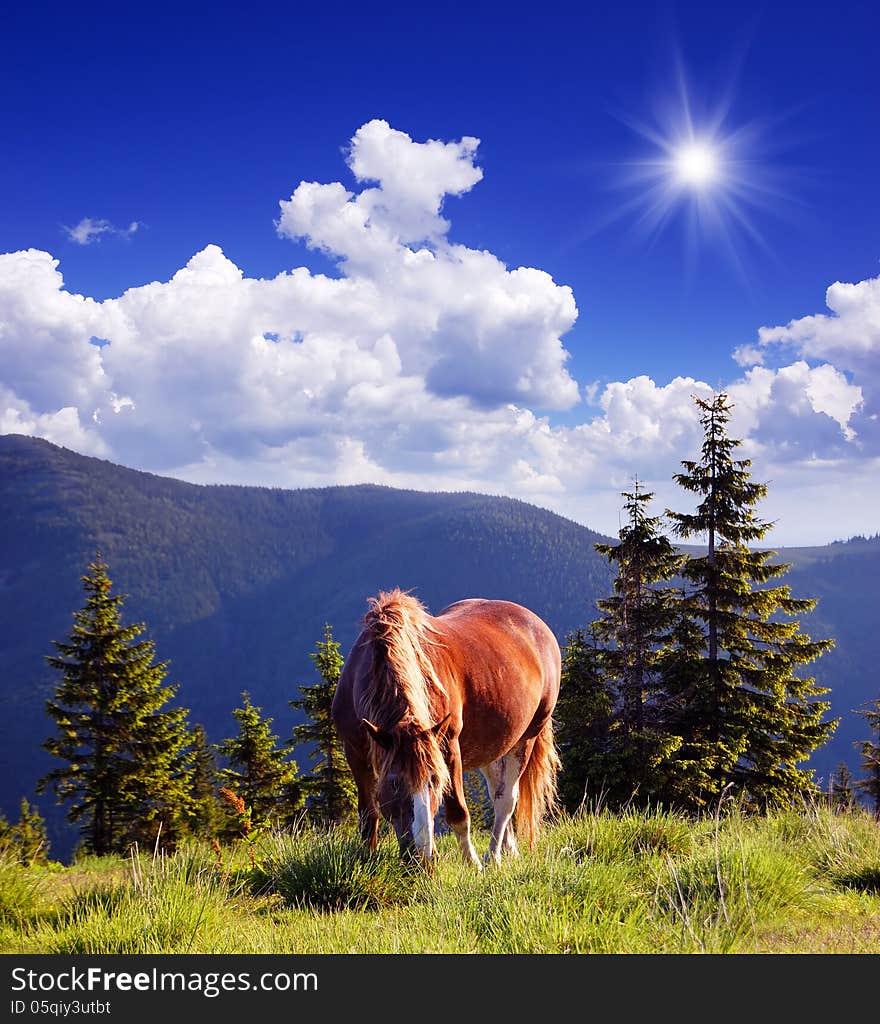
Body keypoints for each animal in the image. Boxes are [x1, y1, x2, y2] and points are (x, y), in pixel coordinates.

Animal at [329, 589, 565, 868]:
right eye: (395, 783)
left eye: (435, 781)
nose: (423, 858)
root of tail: (536, 625)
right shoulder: (356, 751)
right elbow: (368, 814)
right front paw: (367, 859)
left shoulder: (447, 745)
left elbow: (458, 813)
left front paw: (472, 863)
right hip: (490, 746)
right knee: (497, 788)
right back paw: (508, 851)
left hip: (527, 737)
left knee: (506, 799)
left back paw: (493, 857)